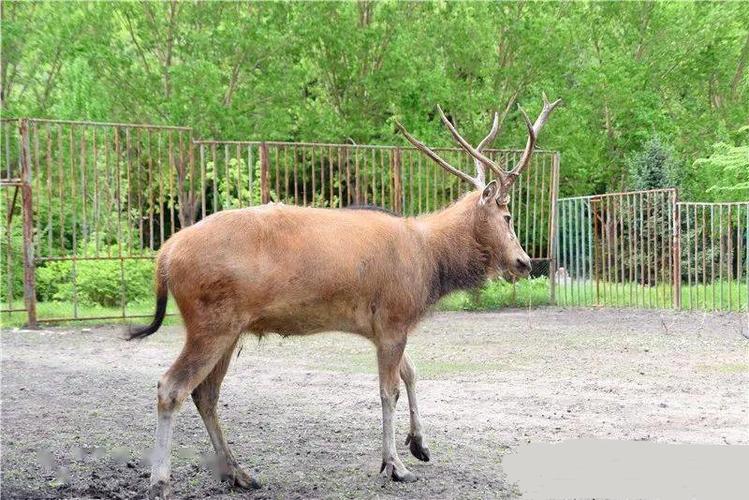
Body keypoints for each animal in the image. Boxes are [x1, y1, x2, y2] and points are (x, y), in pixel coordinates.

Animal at [127, 94, 561, 499]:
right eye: (507, 216)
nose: (524, 262)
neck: (429, 262)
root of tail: (165, 254)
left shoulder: (383, 326)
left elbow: (411, 373)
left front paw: (419, 444)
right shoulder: (394, 318)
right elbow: (389, 390)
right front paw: (394, 465)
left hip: (230, 330)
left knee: (206, 394)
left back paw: (238, 473)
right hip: (211, 322)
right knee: (171, 388)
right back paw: (161, 481)